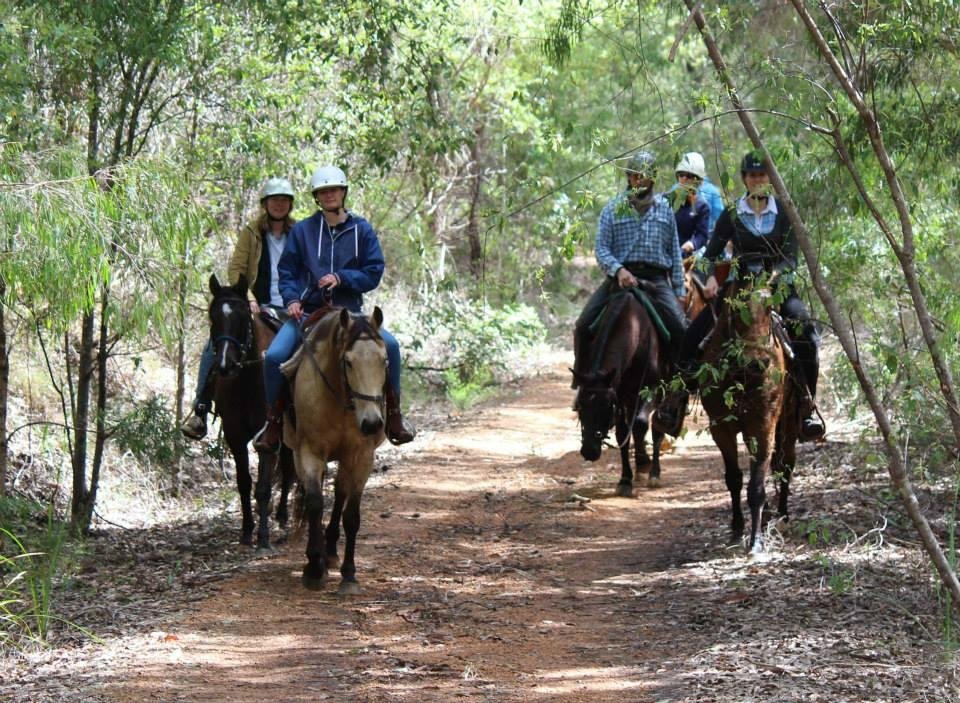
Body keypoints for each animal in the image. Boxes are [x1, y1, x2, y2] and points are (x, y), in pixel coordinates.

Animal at [209, 272, 296, 552]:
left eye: (242, 318)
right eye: (212, 317)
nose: (225, 365)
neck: (248, 381)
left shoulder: (267, 437)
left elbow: (264, 487)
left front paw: (264, 538)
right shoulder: (235, 435)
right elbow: (244, 483)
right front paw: (247, 531)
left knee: (290, 471)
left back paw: (282, 518)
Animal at [280, 306, 388, 592]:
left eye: (385, 360)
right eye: (348, 362)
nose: (372, 423)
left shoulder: (362, 457)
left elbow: (351, 515)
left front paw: (349, 574)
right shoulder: (309, 453)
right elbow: (315, 503)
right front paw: (313, 567)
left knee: (340, 492)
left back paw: (330, 551)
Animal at [568, 288, 668, 498]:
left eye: (605, 407)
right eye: (580, 406)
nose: (589, 451)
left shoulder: (651, 388)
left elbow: (640, 424)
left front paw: (644, 466)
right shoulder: (620, 396)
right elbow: (622, 433)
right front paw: (625, 480)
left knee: (657, 425)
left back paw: (653, 472)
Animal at [696, 276, 804, 556]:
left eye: (769, 309)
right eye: (735, 311)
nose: (757, 363)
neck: (741, 375)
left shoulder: (762, 427)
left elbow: (756, 486)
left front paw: (756, 541)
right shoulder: (721, 428)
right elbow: (734, 479)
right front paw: (736, 529)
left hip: (788, 423)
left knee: (785, 464)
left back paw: (782, 516)